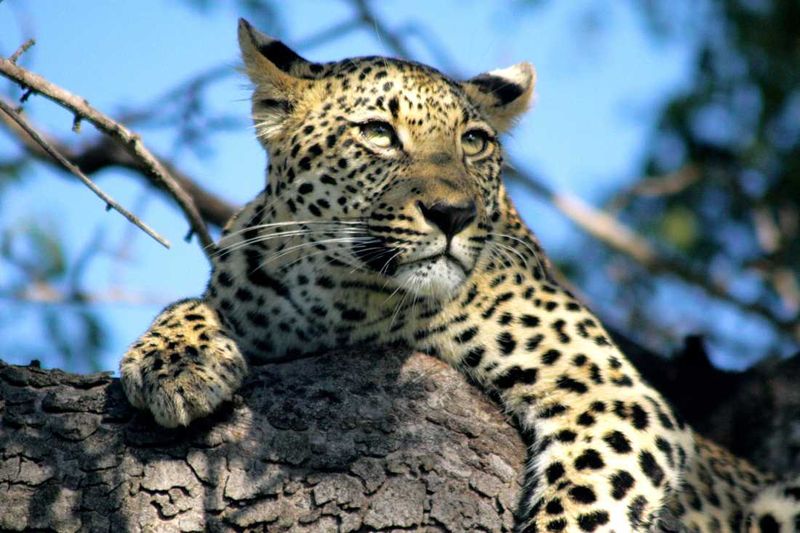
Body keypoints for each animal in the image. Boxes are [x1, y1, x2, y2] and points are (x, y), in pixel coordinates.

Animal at [120, 18, 800, 532]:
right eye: (378, 133)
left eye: (473, 142)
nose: (454, 214)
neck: (341, 297)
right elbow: (189, 301)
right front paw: (176, 366)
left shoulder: (615, 397)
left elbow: (585, 505)